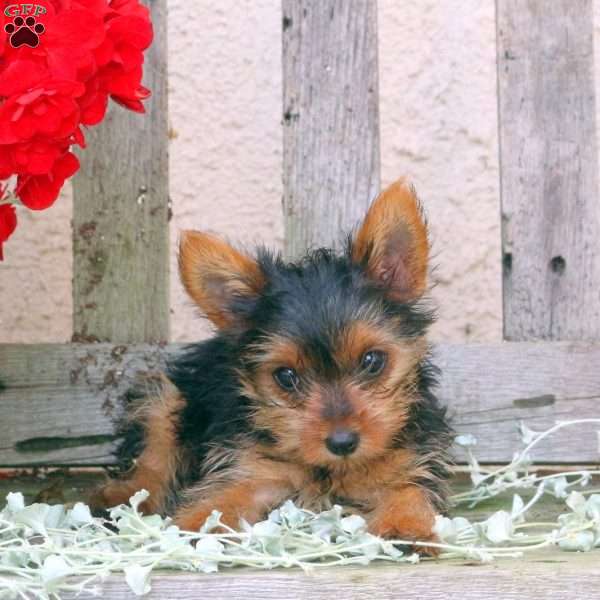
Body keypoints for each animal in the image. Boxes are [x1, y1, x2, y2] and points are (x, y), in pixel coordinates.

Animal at [90, 179, 450, 548]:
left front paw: (404, 526)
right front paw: (193, 527)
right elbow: (221, 497)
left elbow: (408, 490)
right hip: (168, 399)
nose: (342, 443)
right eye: (286, 376)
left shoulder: (410, 461)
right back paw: (124, 496)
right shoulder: (250, 468)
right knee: (154, 455)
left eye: (372, 360)